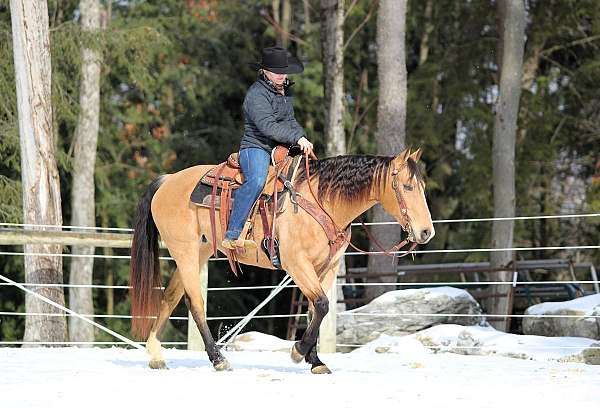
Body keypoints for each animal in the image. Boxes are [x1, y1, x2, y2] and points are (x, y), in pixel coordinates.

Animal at [129, 148, 434, 374]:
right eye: (407, 186)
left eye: (422, 186)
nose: (426, 232)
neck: (322, 201)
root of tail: (168, 181)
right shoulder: (296, 263)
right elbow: (322, 304)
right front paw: (298, 352)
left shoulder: (327, 268)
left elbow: (314, 310)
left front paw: (316, 361)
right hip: (186, 253)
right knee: (195, 303)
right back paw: (218, 359)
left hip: (197, 253)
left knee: (170, 297)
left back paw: (156, 355)